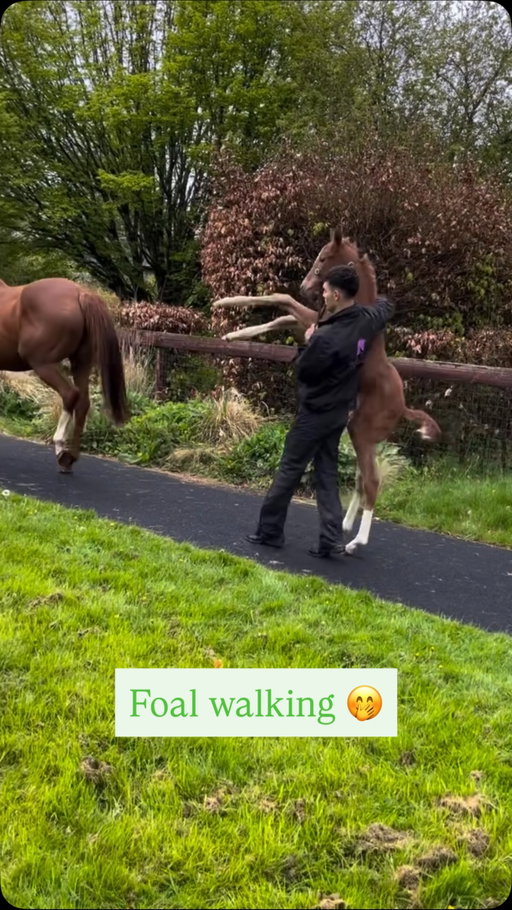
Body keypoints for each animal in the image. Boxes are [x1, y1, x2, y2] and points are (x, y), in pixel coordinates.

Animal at [0, 277, 129, 472]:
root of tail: (81, 293)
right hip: (81, 363)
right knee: (83, 402)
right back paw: (69, 458)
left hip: (43, 364)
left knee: (70, 394)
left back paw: (60, 445)